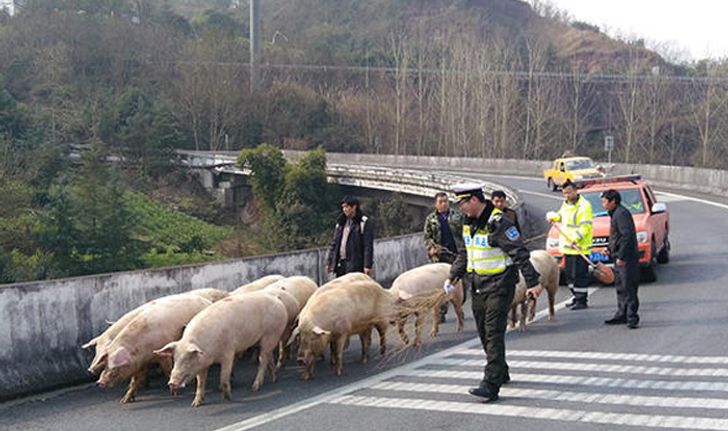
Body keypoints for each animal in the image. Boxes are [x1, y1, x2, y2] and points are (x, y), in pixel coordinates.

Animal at [155, 292, 288, 406]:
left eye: (188, 359)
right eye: (175, 359)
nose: (172, 382)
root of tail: (277, 300)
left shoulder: (228, 352)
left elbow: (224, 377)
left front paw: (228, 398)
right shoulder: (202, 363)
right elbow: (200, 382)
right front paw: (195, 404)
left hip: (271, 333)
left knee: (263, 359)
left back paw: (255, 387)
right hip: (266, 338)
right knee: (269, 355)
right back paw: (273, 378)